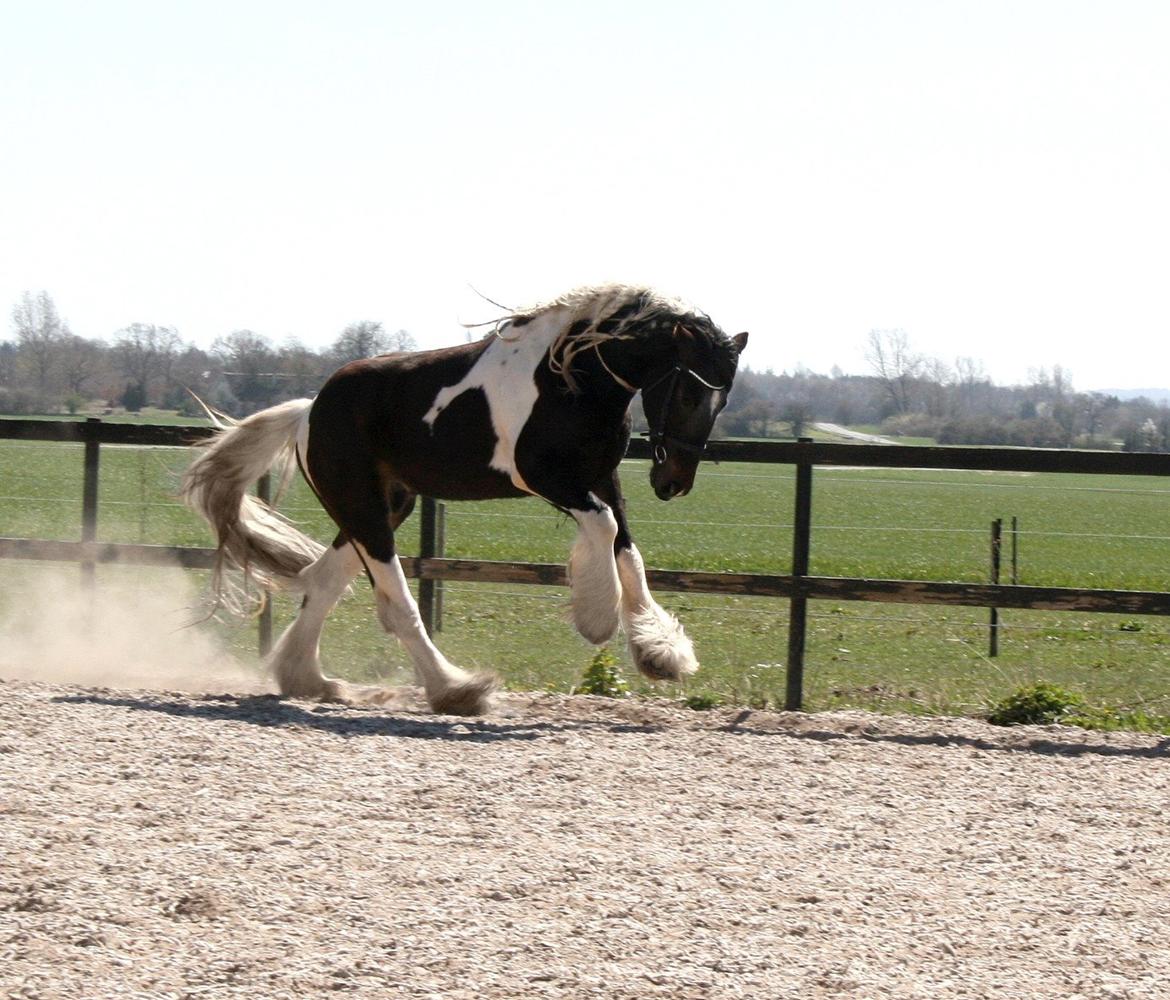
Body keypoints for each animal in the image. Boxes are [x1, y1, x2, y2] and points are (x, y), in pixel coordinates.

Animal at [182, 285, 748, 715]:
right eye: (691, 392)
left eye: (724, 398)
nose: (674, 482)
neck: (575, 378)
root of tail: (308, 412)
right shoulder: (547, 478)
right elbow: (607, 532)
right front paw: (599, 619)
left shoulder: (602, 479)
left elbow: (629, 551)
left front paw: (661, 653)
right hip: (366, 512)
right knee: (398, 603)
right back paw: (456, 689)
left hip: (387, 506)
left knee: (322, 582)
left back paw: (310, 681)